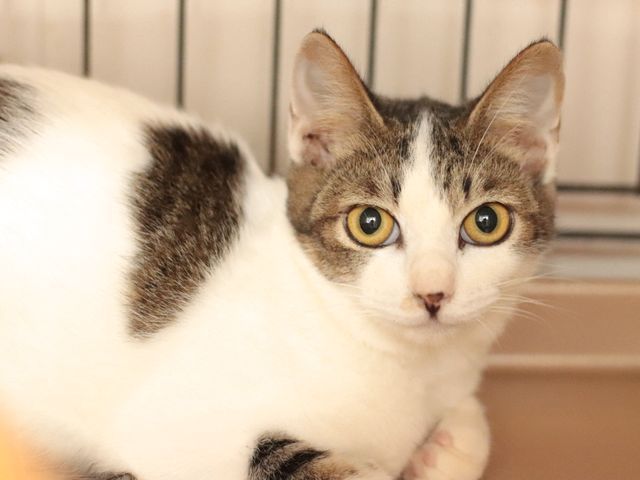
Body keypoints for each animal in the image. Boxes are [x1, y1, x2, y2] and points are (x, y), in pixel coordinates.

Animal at [0, 30, 563, 480]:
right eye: (370, 224)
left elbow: (470, 425)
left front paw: (444, 446)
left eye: (486, 223)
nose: (433, 294)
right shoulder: (171, 432)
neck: (409, 372)